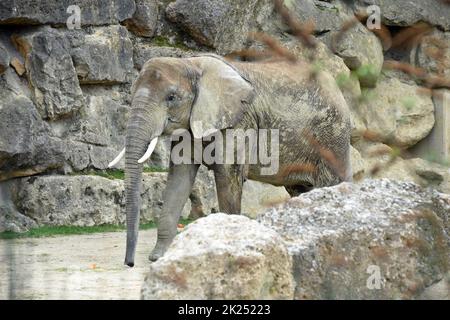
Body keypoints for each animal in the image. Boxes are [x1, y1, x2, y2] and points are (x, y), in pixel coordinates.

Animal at [109, 53, 352, 266]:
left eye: (171, 97)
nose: (129, 263)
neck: (191, 63)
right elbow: (179, 179)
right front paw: (160, 258)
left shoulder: (239, 122)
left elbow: (227, 176)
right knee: (300, 190)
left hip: (332, 137)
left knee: (332, 183)